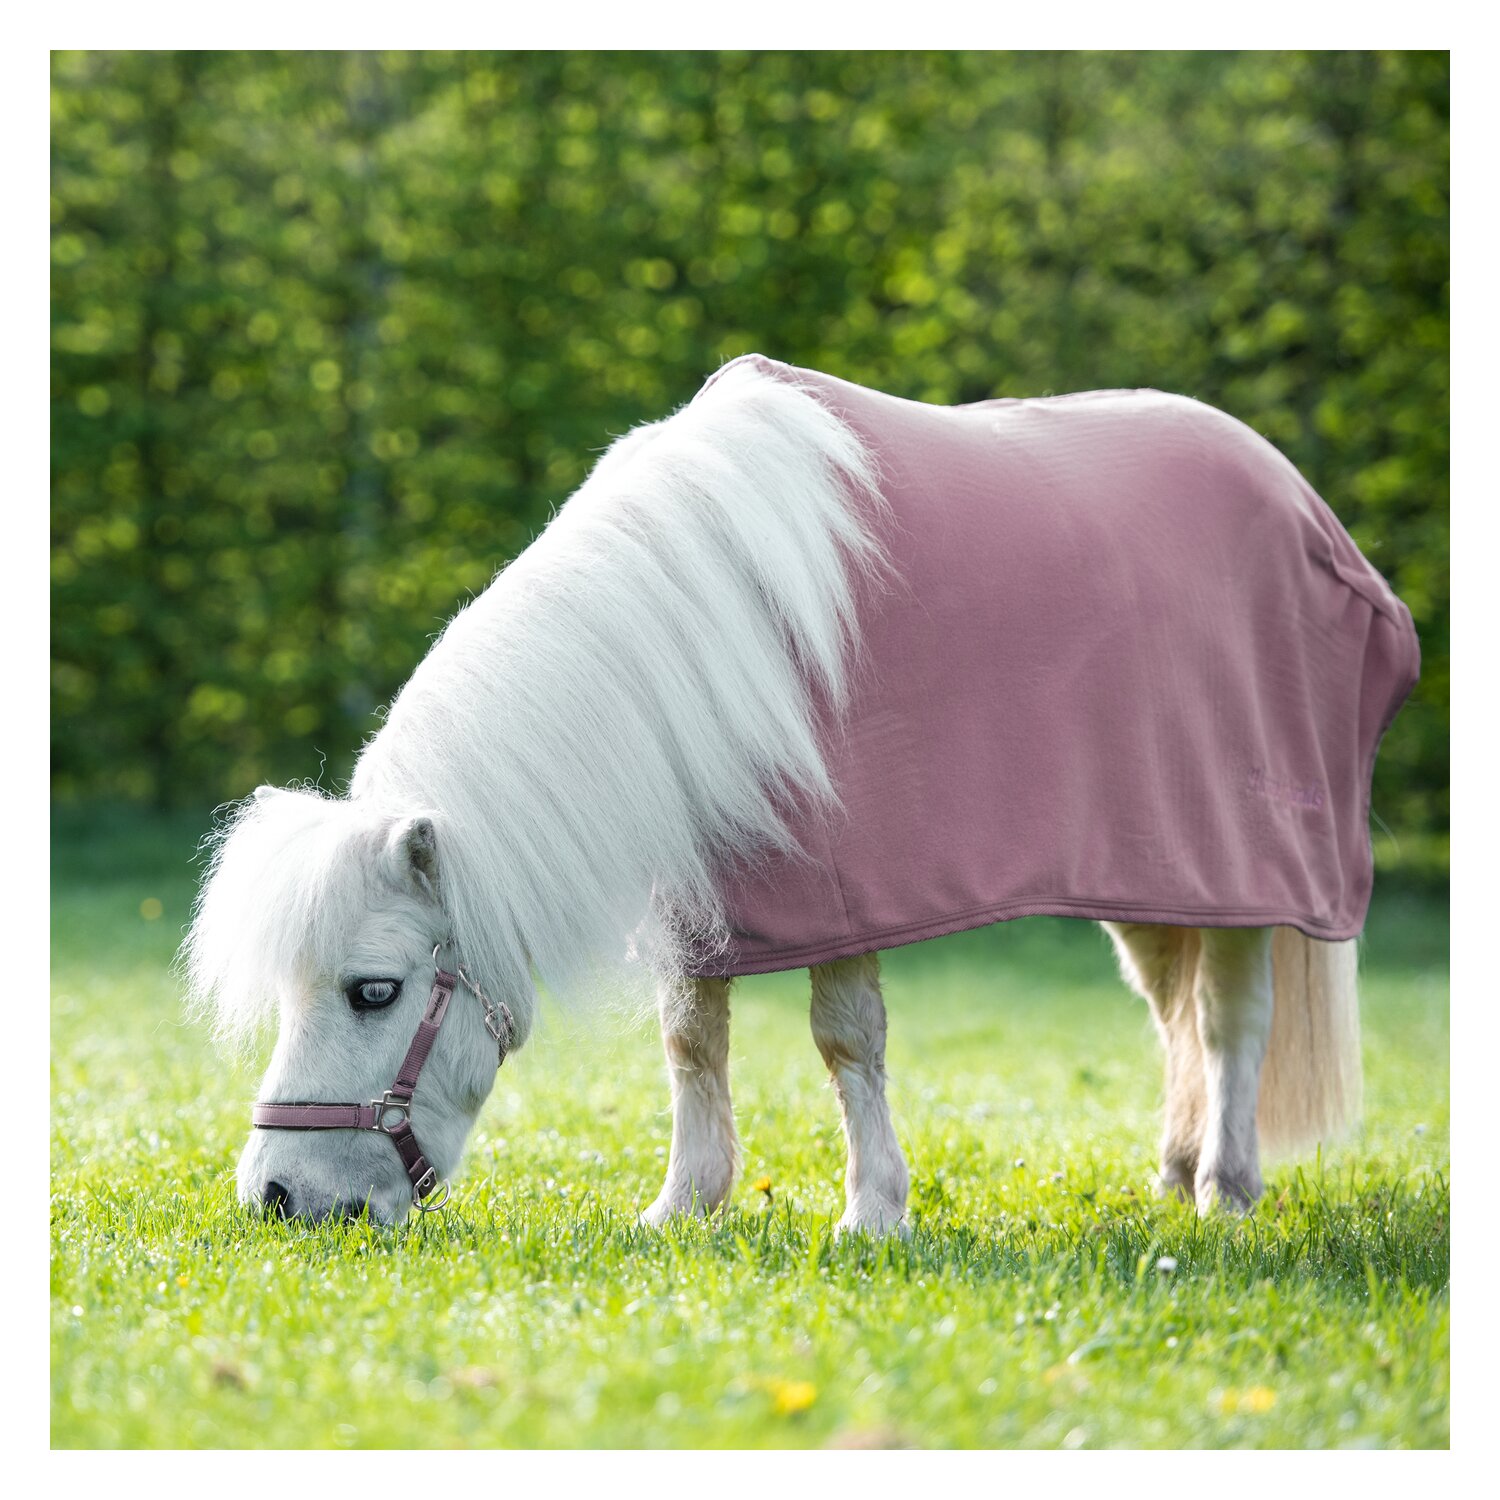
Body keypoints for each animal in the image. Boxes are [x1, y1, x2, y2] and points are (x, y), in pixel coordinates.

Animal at [184, 354, 1419, 1230]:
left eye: (374, 992)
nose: (280, 1199)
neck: (708, 628)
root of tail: (1305, 507)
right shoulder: (707, 900)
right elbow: (692, 1041)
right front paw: (684, 1206)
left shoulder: (848, 885)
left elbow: (846, 1042)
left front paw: (873, 1215)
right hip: (1153, 878)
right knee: (1170, 1009)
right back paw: (1172, 1168)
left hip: (1250, 876)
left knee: (1227, 1020)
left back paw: (1225, 1189)